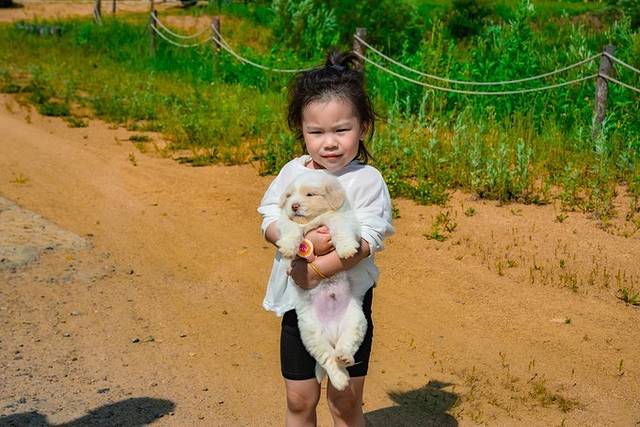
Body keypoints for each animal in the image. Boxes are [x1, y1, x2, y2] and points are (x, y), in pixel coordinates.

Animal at [276, 171, 367, 391]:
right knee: (327, 359)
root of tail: (333, 333)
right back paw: (341, 379)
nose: (294, 206)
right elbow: (291, 229)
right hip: (311, 333)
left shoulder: (343, 219)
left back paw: (343, 360)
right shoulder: (287, 222)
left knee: (343, 348)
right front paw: (288, 248)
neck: (314, 220)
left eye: (310, 194)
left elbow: (341, 230)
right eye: (290, 196)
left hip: (356, 323)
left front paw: (346, 249)